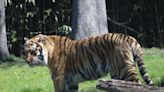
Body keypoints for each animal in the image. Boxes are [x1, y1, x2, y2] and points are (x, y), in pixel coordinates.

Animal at [23, 32, 154, 91]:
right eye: (25, 52)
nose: (27, 61)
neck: (48, 53)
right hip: (117, 74)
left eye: (33, 52)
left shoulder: (58, 79)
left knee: (138, 85)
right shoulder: (71, 82)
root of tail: (128, 37)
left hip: (125, 69)